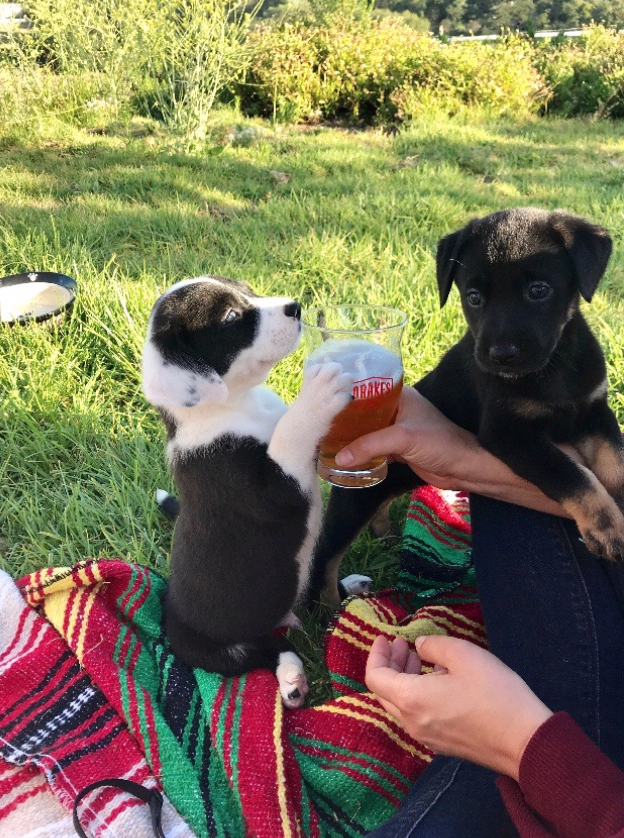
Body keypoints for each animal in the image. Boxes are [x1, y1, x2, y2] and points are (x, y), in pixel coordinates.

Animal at [142, 278, 356, 708]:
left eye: (247, 289)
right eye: (230, 317)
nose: (296, 308)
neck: (235, 405)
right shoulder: (270, 490)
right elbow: (292, 432)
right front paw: (318, 393)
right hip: (218, 649)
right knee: (267, 650)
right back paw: (292, 679)